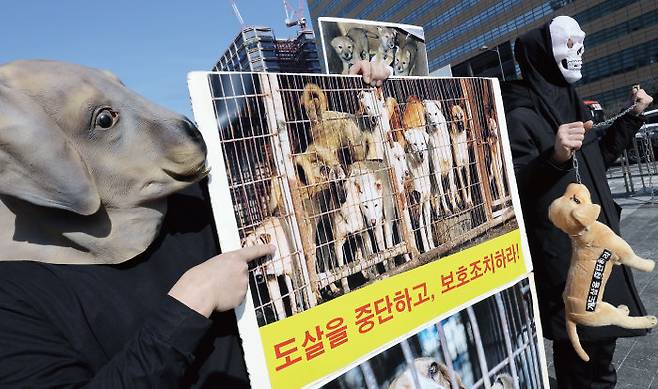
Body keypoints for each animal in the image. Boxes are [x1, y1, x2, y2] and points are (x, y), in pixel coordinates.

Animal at [544, 182, 652, 360]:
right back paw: (649, 320)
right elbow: (638, 262)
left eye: (572, 197)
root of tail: (570, 314)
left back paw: (624, 309)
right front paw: (651, 264)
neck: (581, 234)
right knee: (623, 321)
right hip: (604, 314)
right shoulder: (625, 253)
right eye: (576, 200)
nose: (574, 182)